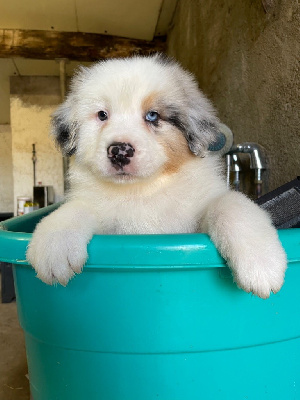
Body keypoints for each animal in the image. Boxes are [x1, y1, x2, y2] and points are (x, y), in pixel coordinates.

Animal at [27, 55, 288, 300]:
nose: (119, 151)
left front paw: (261, 264)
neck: (145, 190)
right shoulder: (104, 219)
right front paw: (53, 247)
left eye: (152, 116)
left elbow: (231, 206)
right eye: (102, 115)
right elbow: (74, 209)